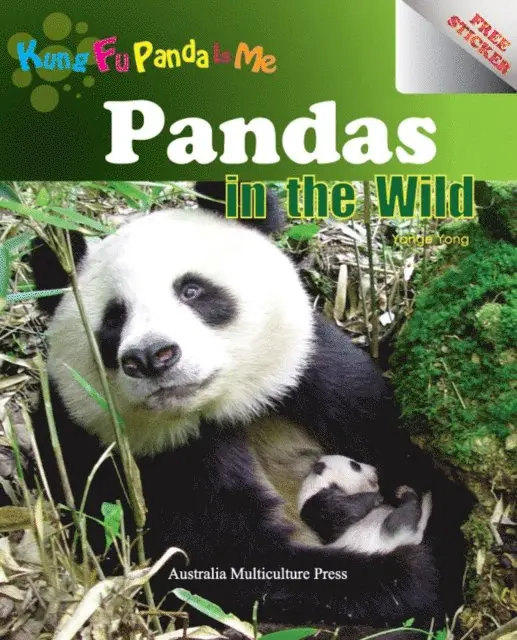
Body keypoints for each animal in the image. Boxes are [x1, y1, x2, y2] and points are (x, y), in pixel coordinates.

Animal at [298, 455, 432, 554]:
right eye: (355, 465)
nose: (375, 470)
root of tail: (414, 536)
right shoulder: (316, 504)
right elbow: (344, 511)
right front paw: (376, 497)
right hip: (388, 535)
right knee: (400, 519)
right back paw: (407, 495)